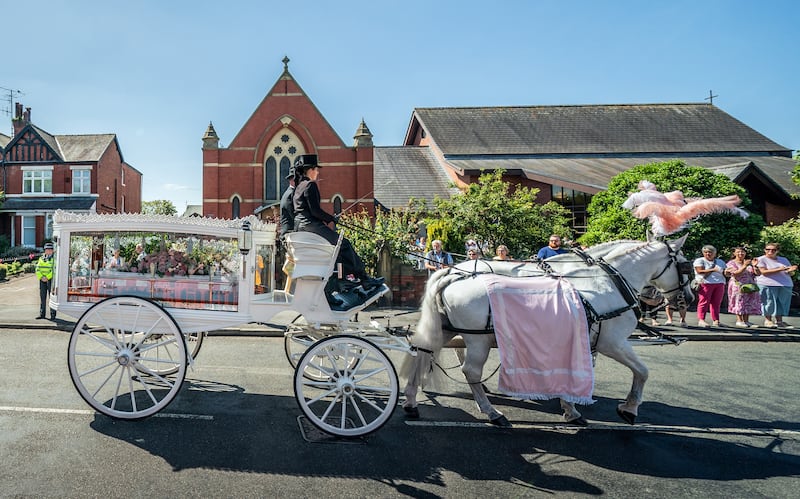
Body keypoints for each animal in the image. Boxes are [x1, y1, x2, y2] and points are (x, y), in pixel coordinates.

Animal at [400, 236, 692, 428]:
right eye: (685, 265)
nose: (686, 298)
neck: (605, 280)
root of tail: (452, 274)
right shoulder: (612, 341)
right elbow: (642, 371)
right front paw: (628, 409)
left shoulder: (580, 337)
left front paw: (570, 405)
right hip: (478, 338)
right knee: (469, 369)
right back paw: (492, 412)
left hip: (446, 328)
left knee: (422, 351)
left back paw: (412, 402)